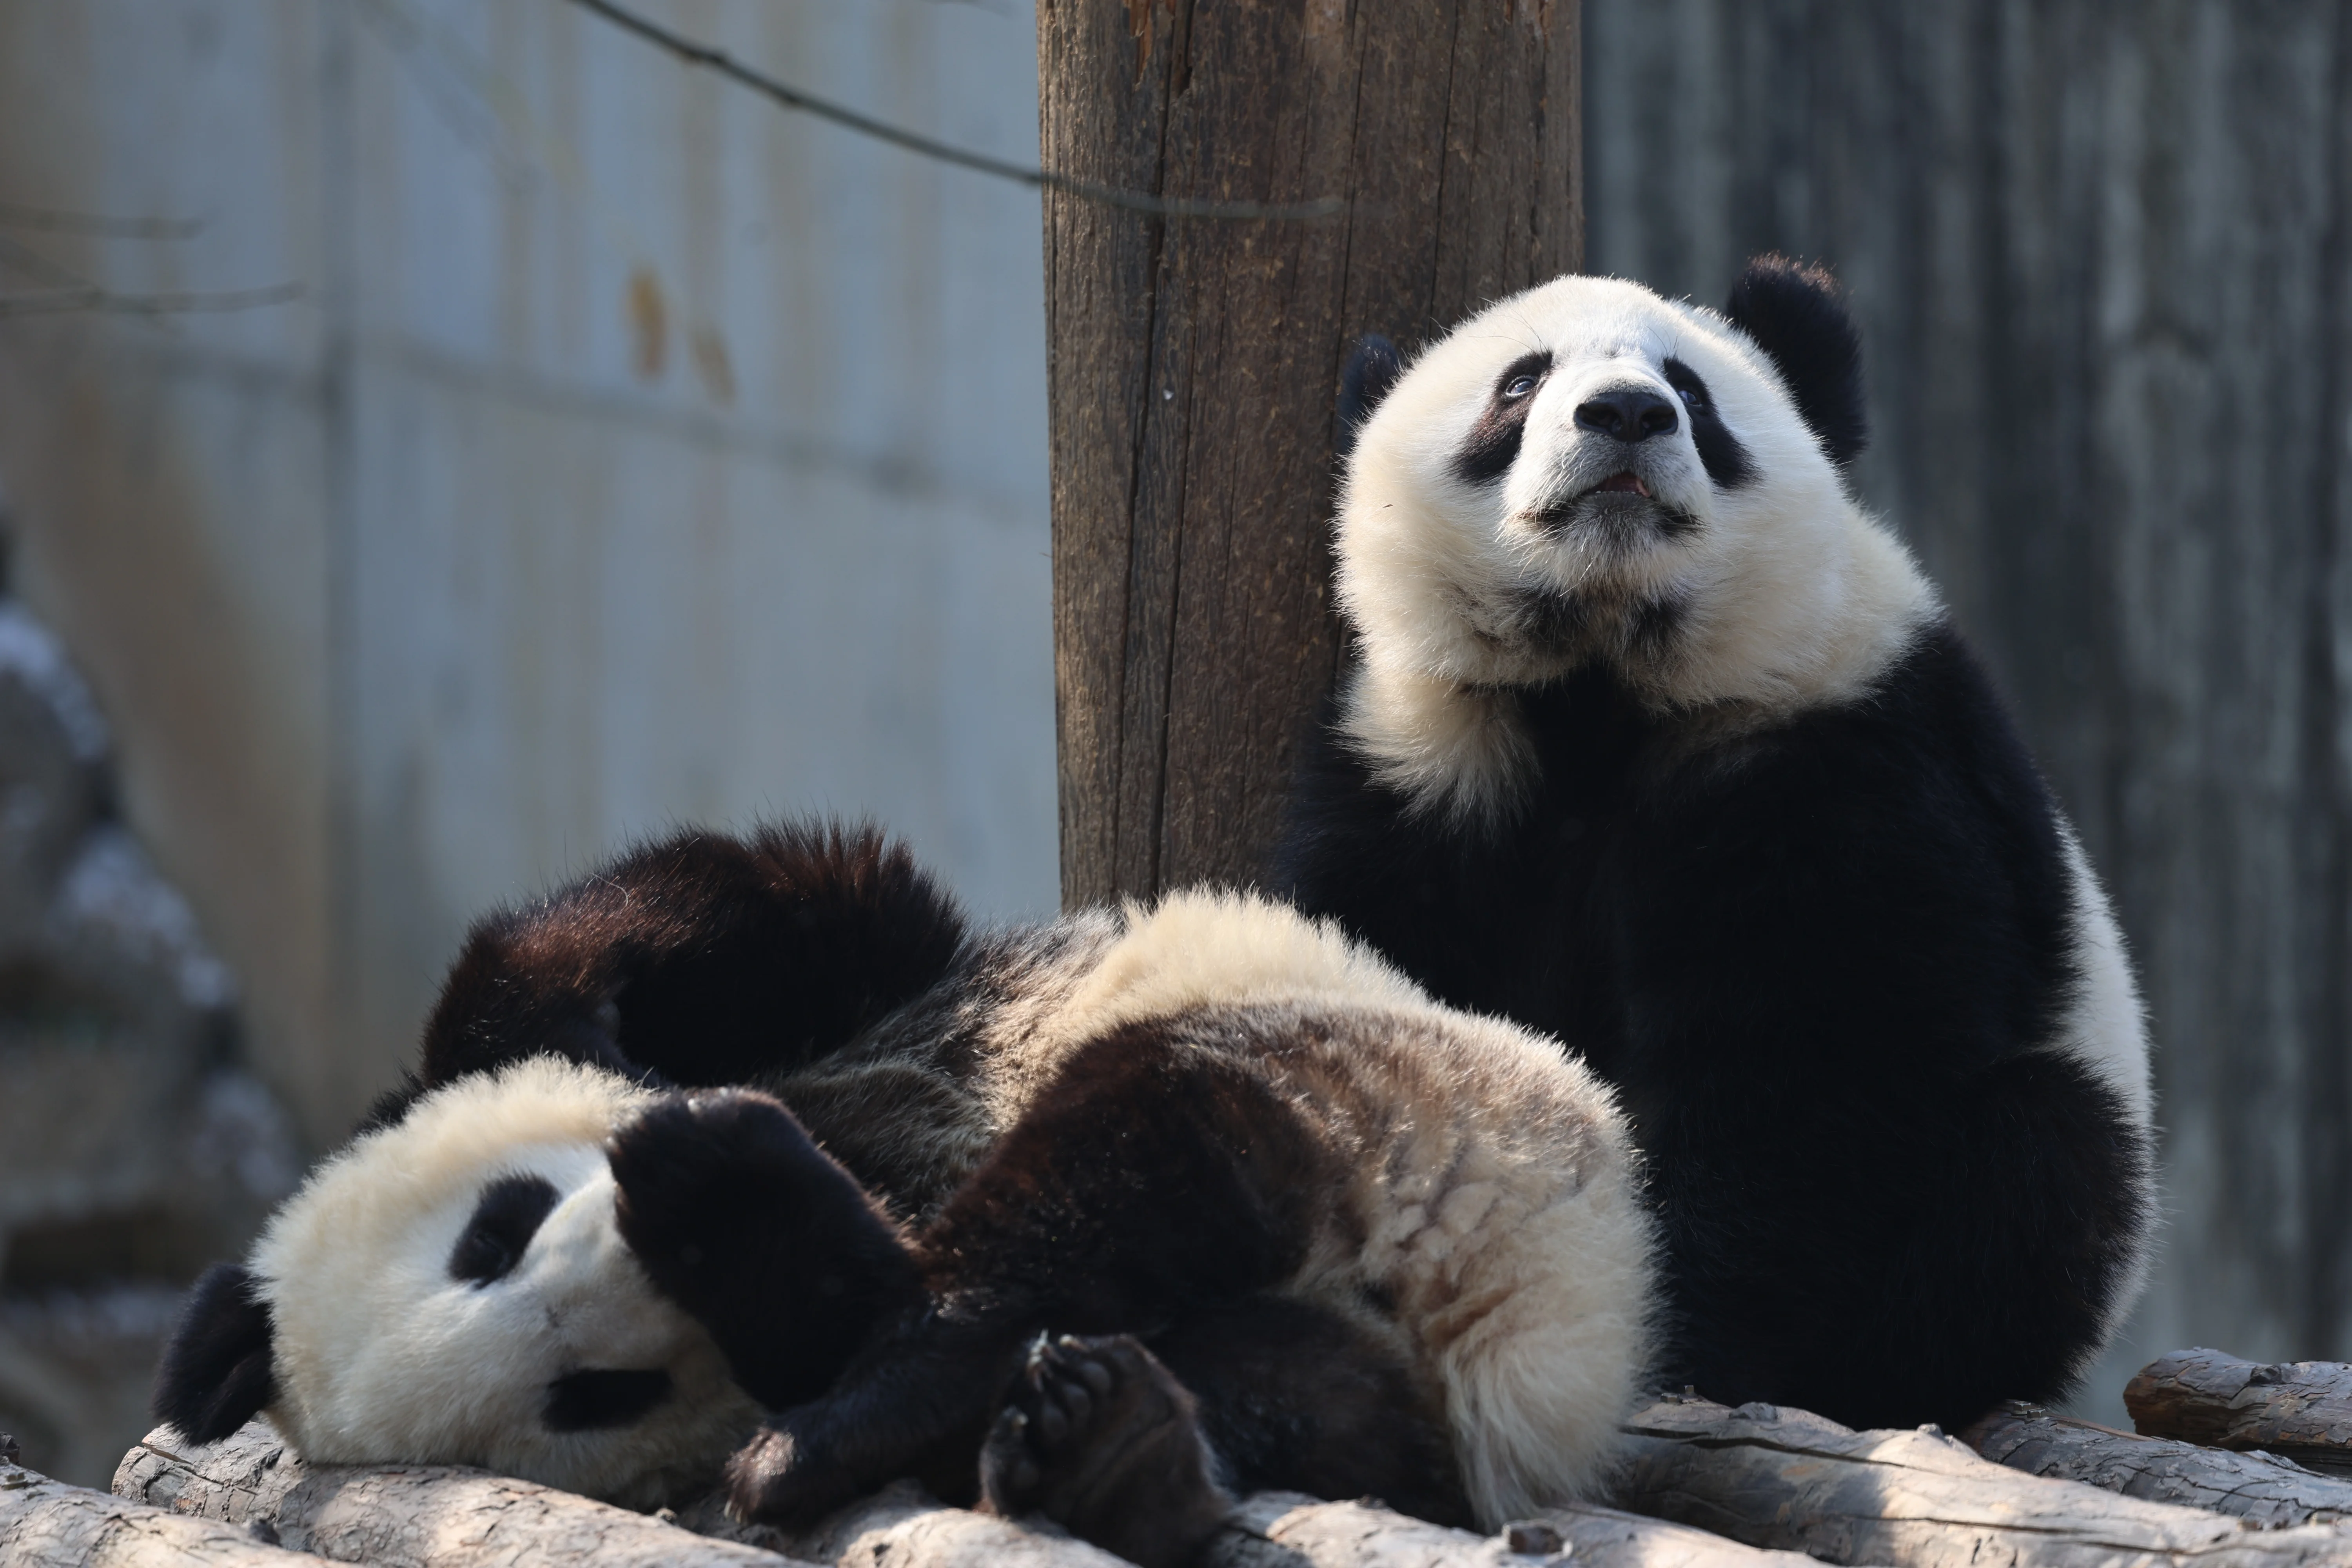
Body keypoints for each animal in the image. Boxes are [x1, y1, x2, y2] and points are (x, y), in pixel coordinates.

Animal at [154, 823, 1654, 1568]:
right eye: (587, 1398)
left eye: (492, 1233)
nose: (633, 1259)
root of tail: (1545, 1320)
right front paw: (755, 1232)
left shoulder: (879, 973)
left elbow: (757, 895)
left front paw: (607, 1072)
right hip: (1356, 1166)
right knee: (1239, 1326)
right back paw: (1092, 1444)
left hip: (1408, 1081)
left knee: (1126, 1142)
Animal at [1273, 258, 2156, 1434]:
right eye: (1521, 383)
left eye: (1690, 391)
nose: (1625, 414)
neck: (1599, 681)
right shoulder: (1425, 774)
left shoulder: (1831, 745)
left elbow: (1805, 1070)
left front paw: (1667, 1344)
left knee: (2047, 1151)